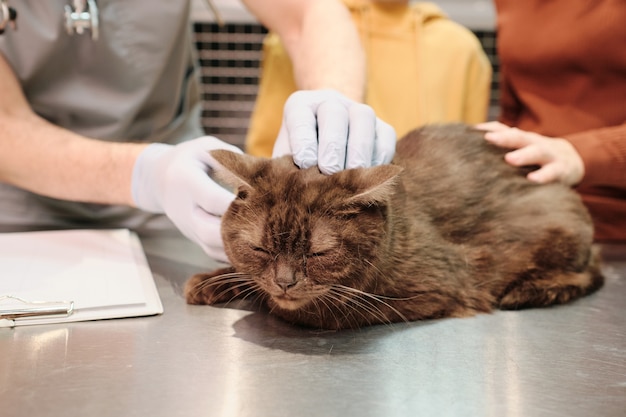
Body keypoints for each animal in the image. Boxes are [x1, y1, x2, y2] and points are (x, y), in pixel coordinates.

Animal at [183, 122, 604, 330]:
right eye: (260, 248)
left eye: (319, 252)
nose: (285, 282)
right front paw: (212, 281)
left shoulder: (439, 286)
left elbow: (318, 313)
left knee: (587, 274)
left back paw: (529, 290)